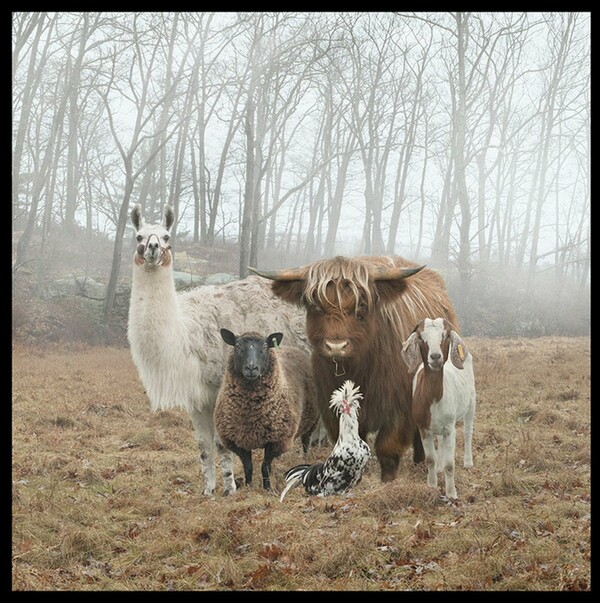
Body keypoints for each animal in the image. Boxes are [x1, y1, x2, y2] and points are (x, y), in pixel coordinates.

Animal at [214, 328, 322, 494]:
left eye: (264, 347)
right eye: (237, 346)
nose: (251, 368)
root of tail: (294, 348)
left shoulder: (276, 440)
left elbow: (264, 466)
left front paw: (268, 489)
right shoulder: (238, 441)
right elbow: (248, 467)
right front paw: (249, 486)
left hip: (312, 419)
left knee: (306, 441)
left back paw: (305, 458)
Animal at [400, 316, 476, 500]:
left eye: (446, 335)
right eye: (420, 337)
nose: (435, 357)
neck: (434, 397)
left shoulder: (450, 428)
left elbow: (450, 464)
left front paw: (452, 493)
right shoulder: (423, 428)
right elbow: (430, 459)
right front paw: (432, 486)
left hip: (472, 401)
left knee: (468, 431)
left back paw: (468, 462)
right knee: (440, 440)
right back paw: (440, 468)